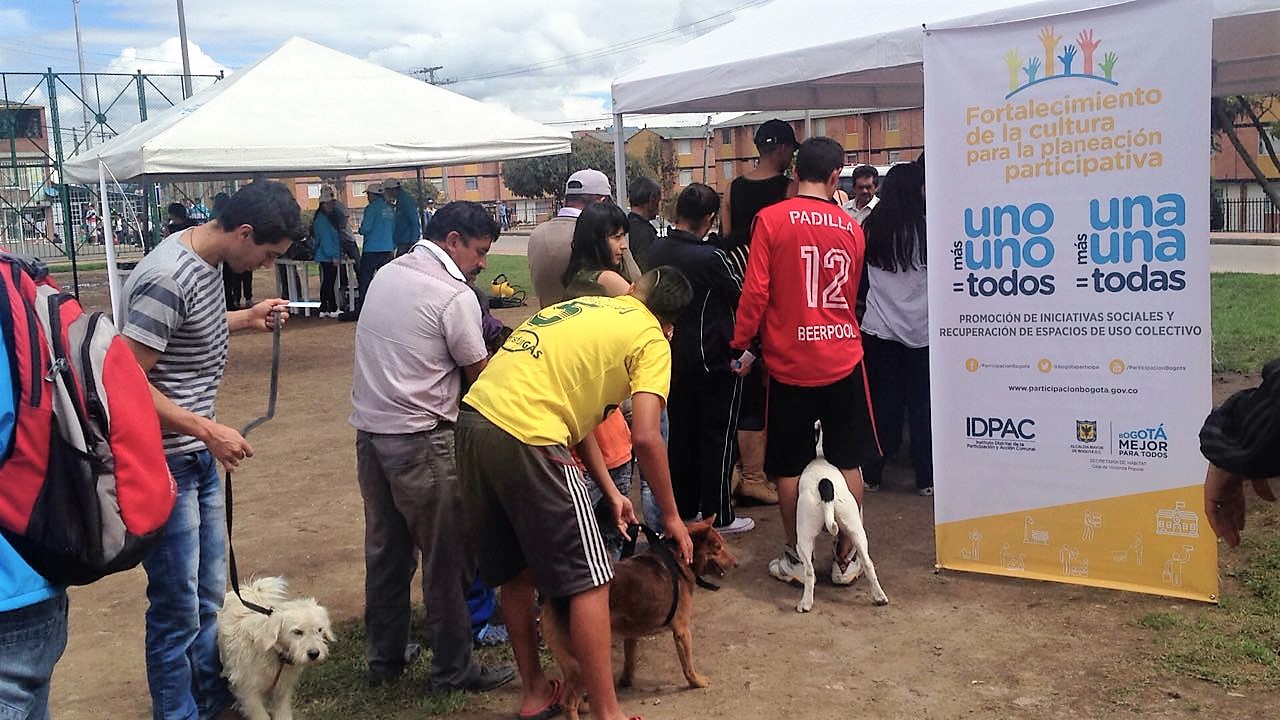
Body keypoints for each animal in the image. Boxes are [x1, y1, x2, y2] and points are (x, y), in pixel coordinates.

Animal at [218, 573, 335, 717]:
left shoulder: (282, 690)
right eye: (297, 631)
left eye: (319, 629)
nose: (314, 654)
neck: (272, 652)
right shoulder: (249, 693)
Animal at [542, 512, 742, 712]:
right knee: (568, 702)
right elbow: (688, 665)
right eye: (718, 548)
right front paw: (697, 682)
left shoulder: (631, 633)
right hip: (582, 659)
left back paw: (585, 705)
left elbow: (629, 660)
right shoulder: (682, 631)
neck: (678, 559)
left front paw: (626, 681)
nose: (737, 563)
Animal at [793, 425, 885, 609]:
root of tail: (825, 483)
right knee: (868, 563)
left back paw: (805, 603)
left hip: (803, 537)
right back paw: (879, 597)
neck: (820, 454)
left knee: (809, 571)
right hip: (855, 530)